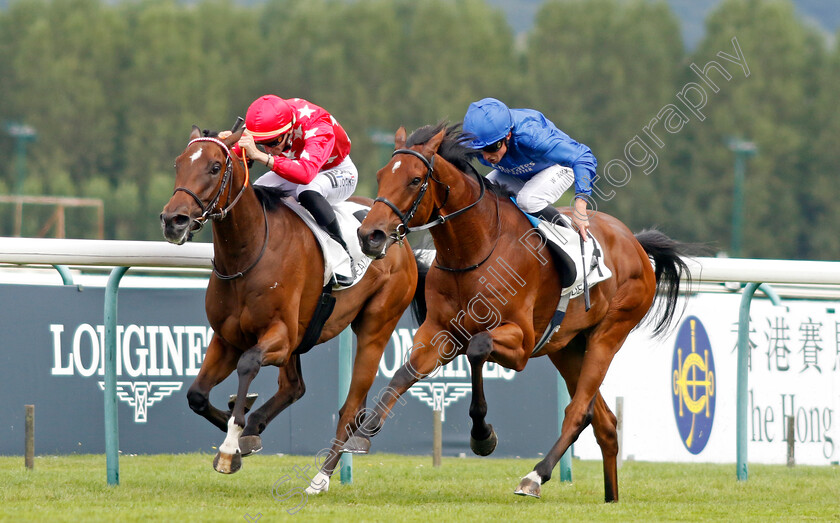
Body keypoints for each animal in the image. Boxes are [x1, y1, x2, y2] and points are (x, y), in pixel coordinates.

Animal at [160, 127, 420, 492]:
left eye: (214, 167)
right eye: (178, 163)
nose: (173, 220)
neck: (248, 253)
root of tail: (397, 236)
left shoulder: (279, 336)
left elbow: (249, 363)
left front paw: (230, 447)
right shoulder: (227, 339)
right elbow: (197, 395)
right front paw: (238, 424)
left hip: (376, 325)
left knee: (350, 406)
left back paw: (321, 476)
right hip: (303, 335)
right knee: (294, 387)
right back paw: (256, 426)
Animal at [344, 124, 692, 504]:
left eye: (415, 179)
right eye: (380, 176)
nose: (370, 235)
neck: (475, 249)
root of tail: (634, 243)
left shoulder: (521, 343)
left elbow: (478, 348)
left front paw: (483, 436)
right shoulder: (438, 330)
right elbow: (404, 374)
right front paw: (362, 432)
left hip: (609, 333)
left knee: (578, 411)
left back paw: (535, 476)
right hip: (567, 347)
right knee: (603, 421)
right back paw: (610, 498)